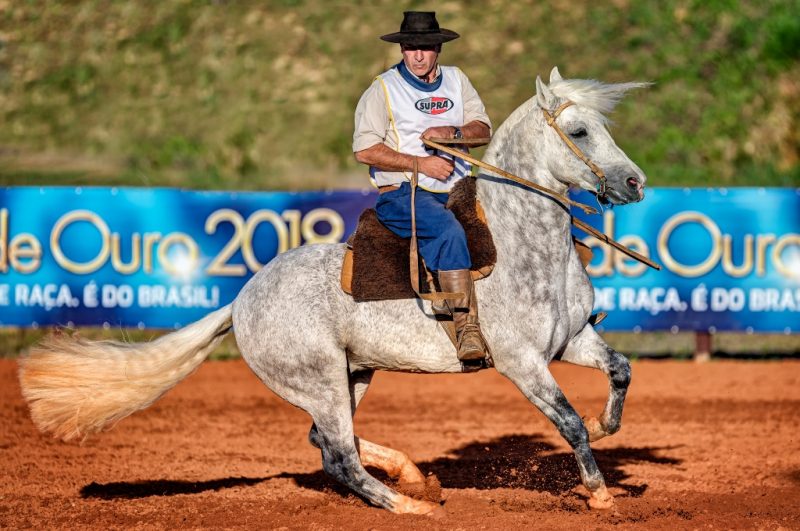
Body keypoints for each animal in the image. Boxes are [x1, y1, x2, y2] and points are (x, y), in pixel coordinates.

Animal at [18, 67, 649, 515]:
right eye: (579, 131)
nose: (634, 182)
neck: (526, 244)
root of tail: (242, 299)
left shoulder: (569, 342)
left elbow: (619, 372)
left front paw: (605, 428)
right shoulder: (521, 362)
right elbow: (566, 421)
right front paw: (598, 494)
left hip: (353, 373)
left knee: (323, 439)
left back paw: (413, 476)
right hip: (317, 377)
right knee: (338, 455)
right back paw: (413, 506)